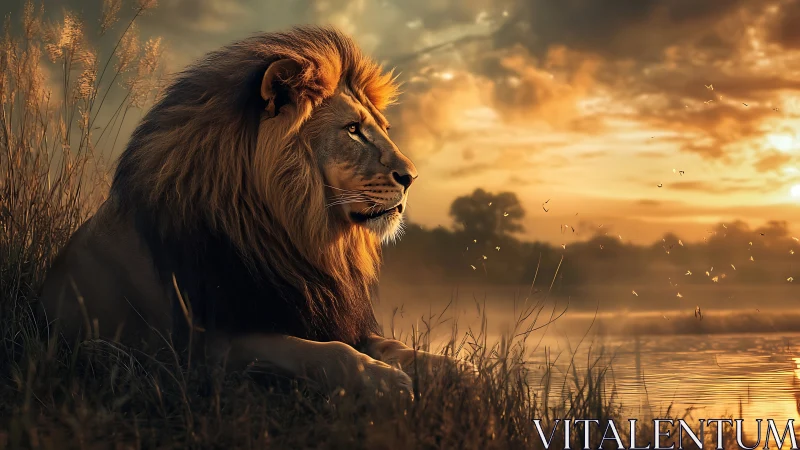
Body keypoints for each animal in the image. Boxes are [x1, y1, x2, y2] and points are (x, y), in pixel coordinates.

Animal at [39, 26, 471, 397]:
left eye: (383, 128)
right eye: (352, 130)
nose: (412, 177)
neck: (294, 235)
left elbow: (392, 345)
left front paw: (457, 369)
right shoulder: (201, 349)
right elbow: (325, 352)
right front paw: (385, 381)